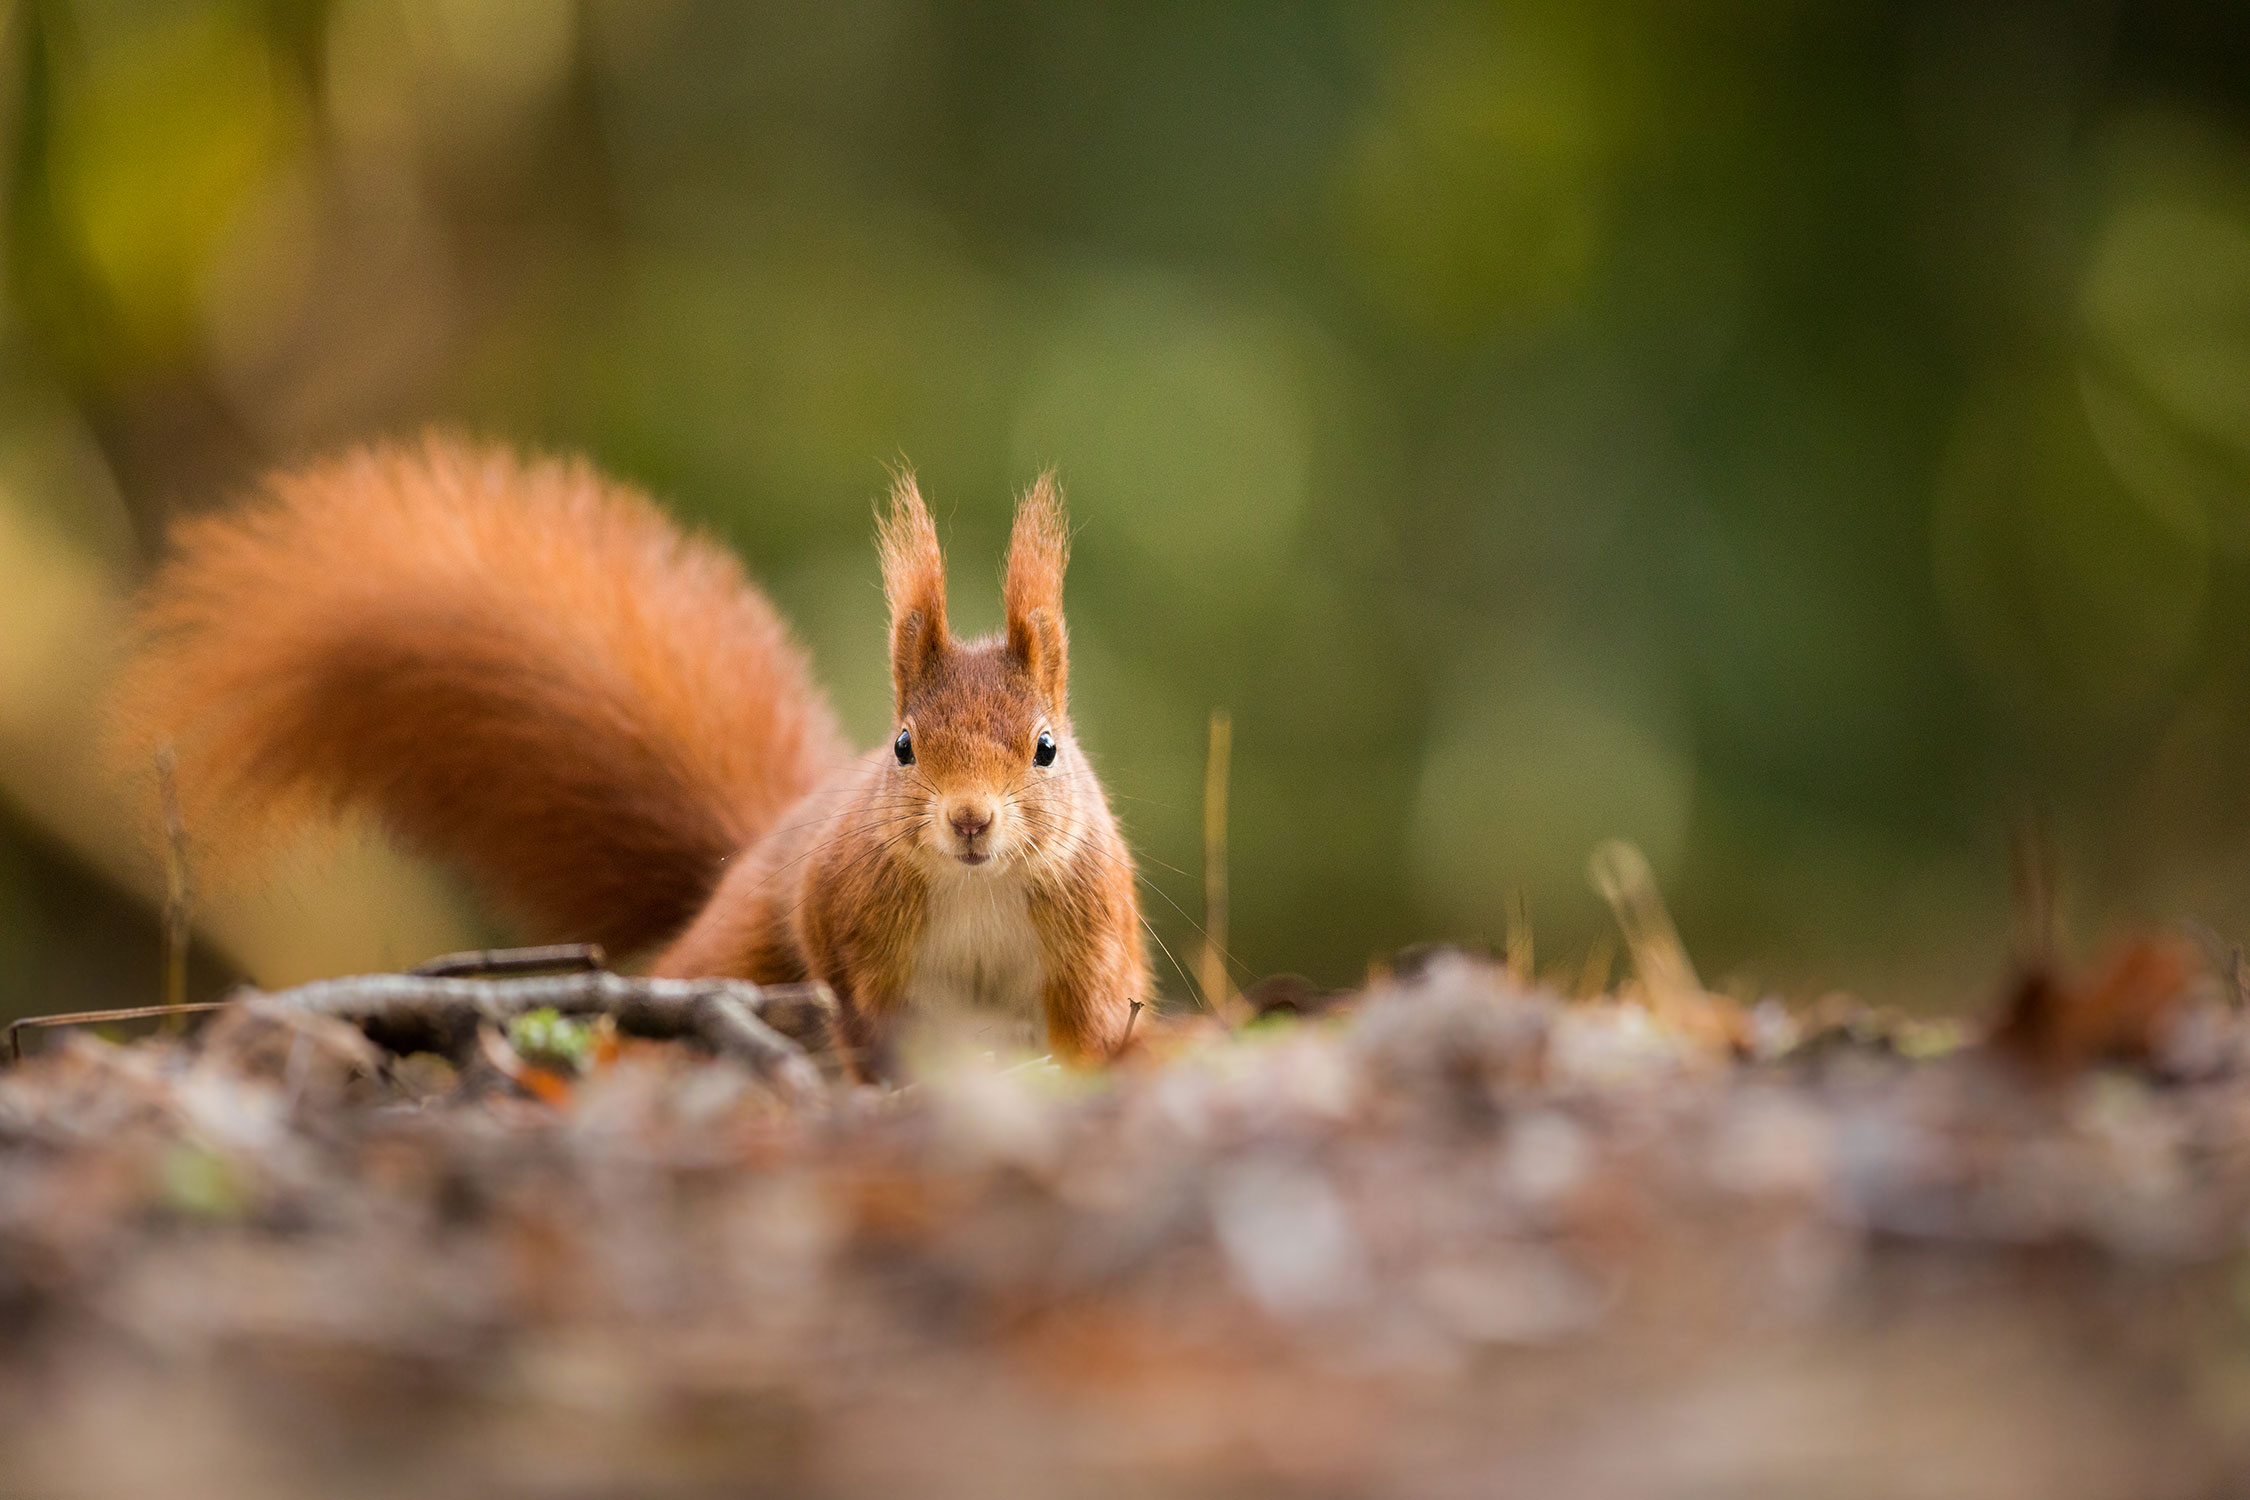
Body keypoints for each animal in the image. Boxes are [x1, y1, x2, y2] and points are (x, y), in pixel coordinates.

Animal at [109, 431, 1143, 1065]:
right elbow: (859, 1007)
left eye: (1046, 749)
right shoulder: (842, 916)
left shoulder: (1092, 942)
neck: (976, 889)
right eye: (901, 746)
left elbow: (1093, 1032)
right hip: (734, 947)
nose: (969, 821)